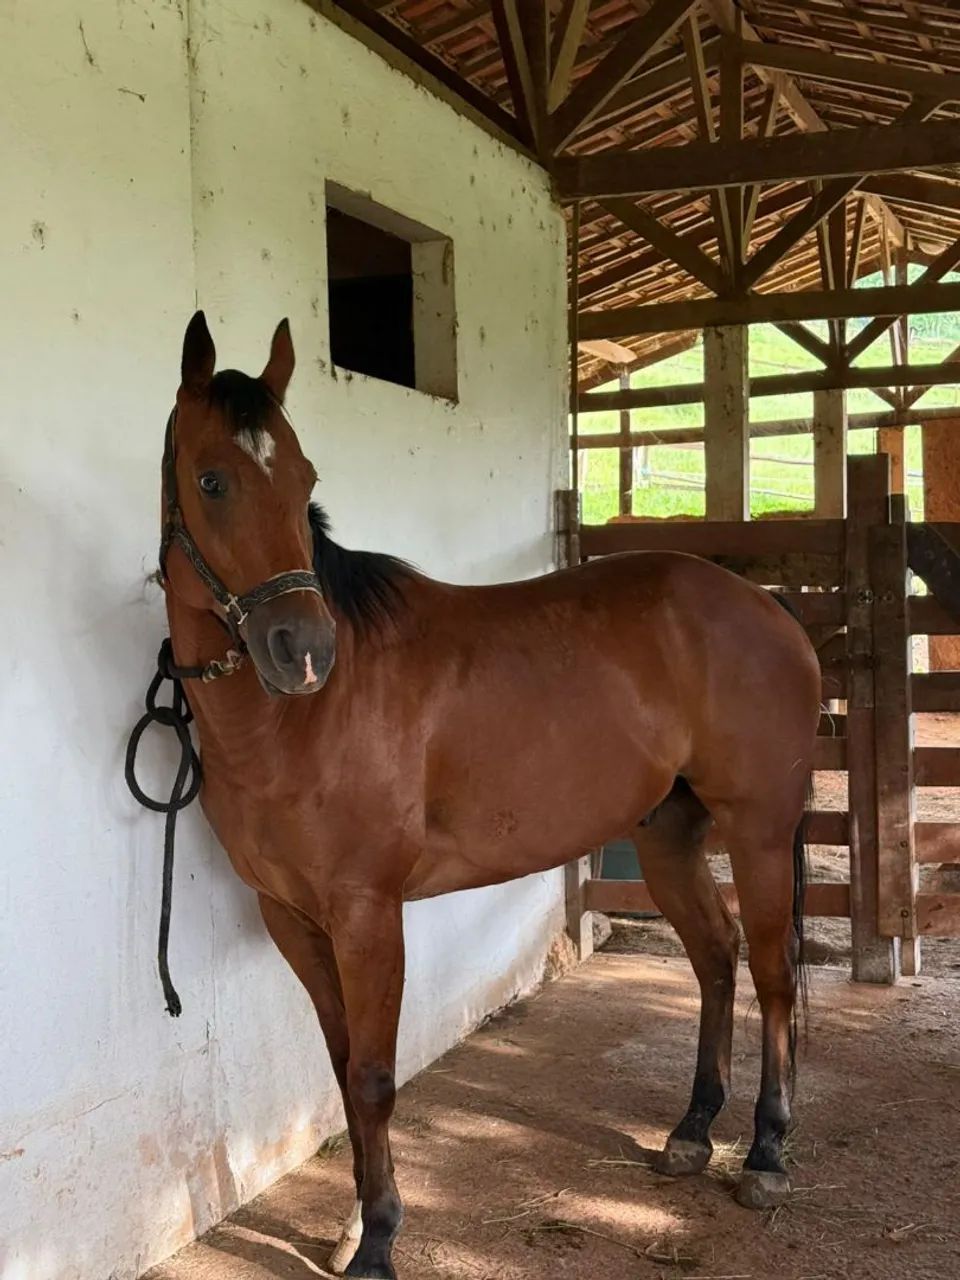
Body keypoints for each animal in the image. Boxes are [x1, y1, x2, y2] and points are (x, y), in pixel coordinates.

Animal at [157, 311, 821, 1279]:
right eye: (212, 480)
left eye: (306, 478)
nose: (304, 651)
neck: (297, 722)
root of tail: (765, 604)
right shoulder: (292, 918)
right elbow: (341, 1065)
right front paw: (354, 1221)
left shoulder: (368, 914)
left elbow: (373, 1077)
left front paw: (379, 1239)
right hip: (668, 835)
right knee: (715, 954)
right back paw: (694, 1130)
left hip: (760, 829)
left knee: (772, 971)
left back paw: (766, 1150)